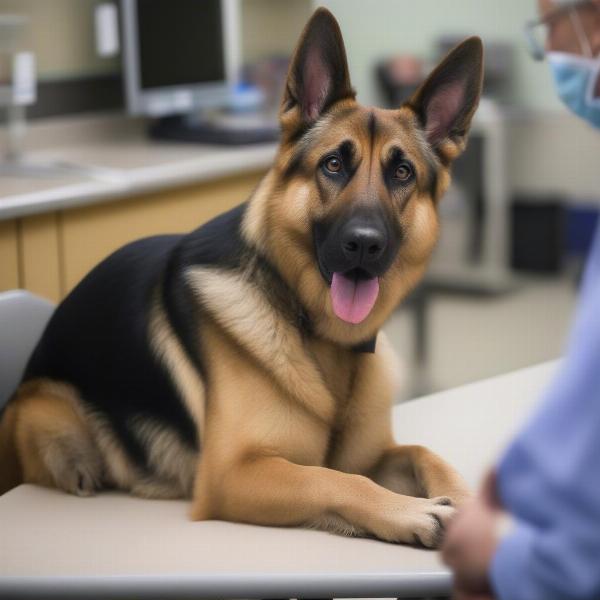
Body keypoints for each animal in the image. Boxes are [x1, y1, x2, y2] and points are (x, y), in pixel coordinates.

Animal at [0, 9, 482, 548]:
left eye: (402, 174)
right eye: (334, 164)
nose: (364, 244)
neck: (317, 334)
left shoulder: (373, 454)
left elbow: (422, 452)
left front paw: (468, 503)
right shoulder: (235, 473)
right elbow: (332, 478)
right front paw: (412, 512)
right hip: (54, 415)